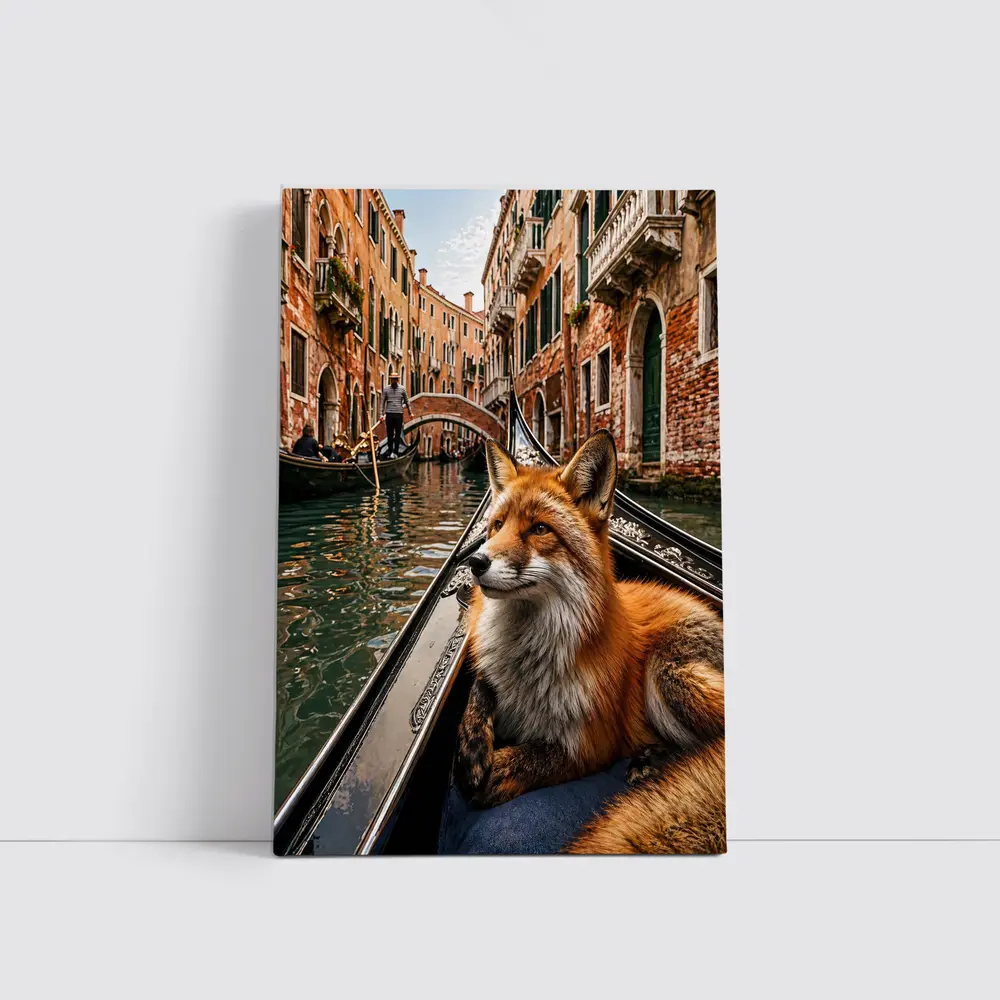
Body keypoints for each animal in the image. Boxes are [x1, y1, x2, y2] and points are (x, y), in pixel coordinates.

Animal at [454, 429, 725, 854]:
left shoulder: (592, 742)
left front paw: (498, 770)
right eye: (496, 526)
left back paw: (655, 763)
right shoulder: (490, 671)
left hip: (669, 677)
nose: (474, 563)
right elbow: (480, 688)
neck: (527, 658)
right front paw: (472, 746)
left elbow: (536, 757)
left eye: (540, 529)